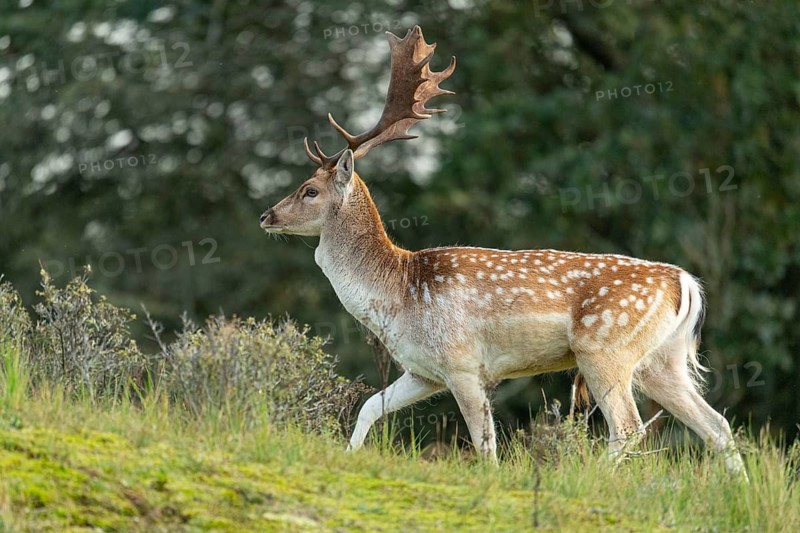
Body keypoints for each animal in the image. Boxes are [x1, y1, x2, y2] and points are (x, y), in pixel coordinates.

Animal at [260, 26, 747, 477]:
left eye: (309, 190)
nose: (266, 215)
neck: (397, 293)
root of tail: (685, 283)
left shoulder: (462, 363)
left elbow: (484, 444)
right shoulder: (424, 370)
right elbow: (369, 407)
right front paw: (348, 457)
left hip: (605, 348)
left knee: (628, 428)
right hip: (663, 361)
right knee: (717, 425)